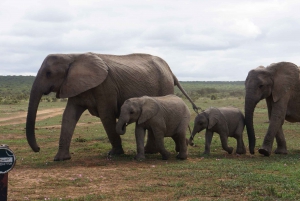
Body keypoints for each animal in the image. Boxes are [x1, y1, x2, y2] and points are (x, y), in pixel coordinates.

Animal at [25, 52, 198, 161]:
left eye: (48, 73)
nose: (38, 149)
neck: (72, 56)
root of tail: (170, 71)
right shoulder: (75, 85)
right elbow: (69, 116)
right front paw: (60, 159)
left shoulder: (105, 85)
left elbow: (106, 115)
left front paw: (114, 154)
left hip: (164, 85)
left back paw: (155, 151)